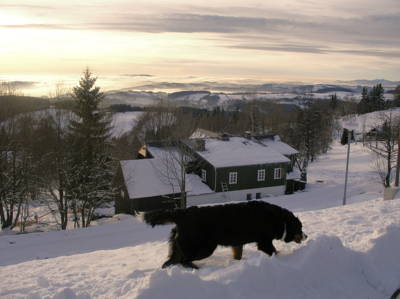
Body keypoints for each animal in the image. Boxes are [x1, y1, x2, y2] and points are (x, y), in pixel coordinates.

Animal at [145, 202, 308, 270]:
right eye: (300, 228)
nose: (306, 236)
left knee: (170, 262)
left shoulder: (238, 243)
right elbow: (274, 252)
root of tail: (182, 214)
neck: (280, 220)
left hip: (181, 246)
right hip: (203, 247)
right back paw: (196, 269)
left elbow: (238, 255)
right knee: (184, 260)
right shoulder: (264, 242)